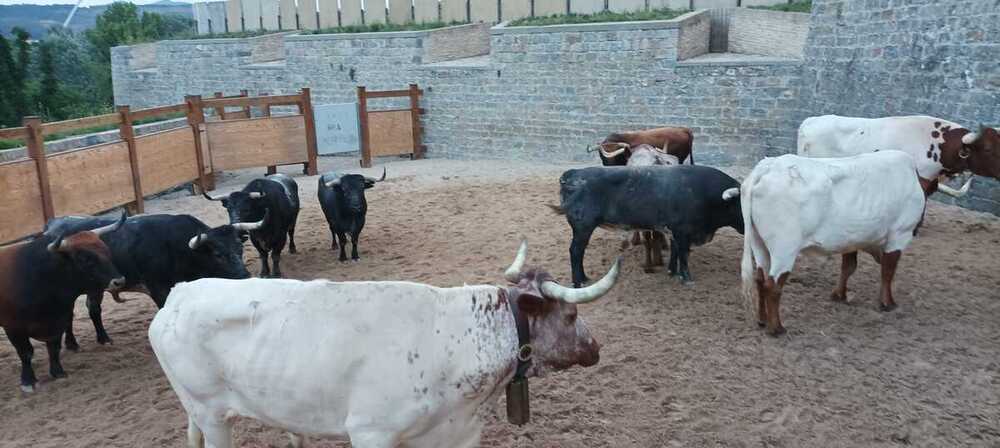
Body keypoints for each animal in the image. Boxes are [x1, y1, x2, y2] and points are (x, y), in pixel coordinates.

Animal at [556, 166, 744, 286]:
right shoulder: (683, 231)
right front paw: (687, 278)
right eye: (742, 205)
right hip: (583, 227)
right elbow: (683, 254)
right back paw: (579, 281)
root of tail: (572, 174)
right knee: (576, 251)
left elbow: (675, 251)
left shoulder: (674, 231)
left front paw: (672, 272)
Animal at [740, 150, 924, 336]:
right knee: (773, 285)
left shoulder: (851, 240)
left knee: (760, 279)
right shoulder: (900, 233)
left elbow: (849, 267)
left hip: (758, 242)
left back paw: (762, 320)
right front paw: (888, 303)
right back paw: (776, 328)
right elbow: (888, 271)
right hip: (784, 248)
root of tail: (768, 166)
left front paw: (839, 295)